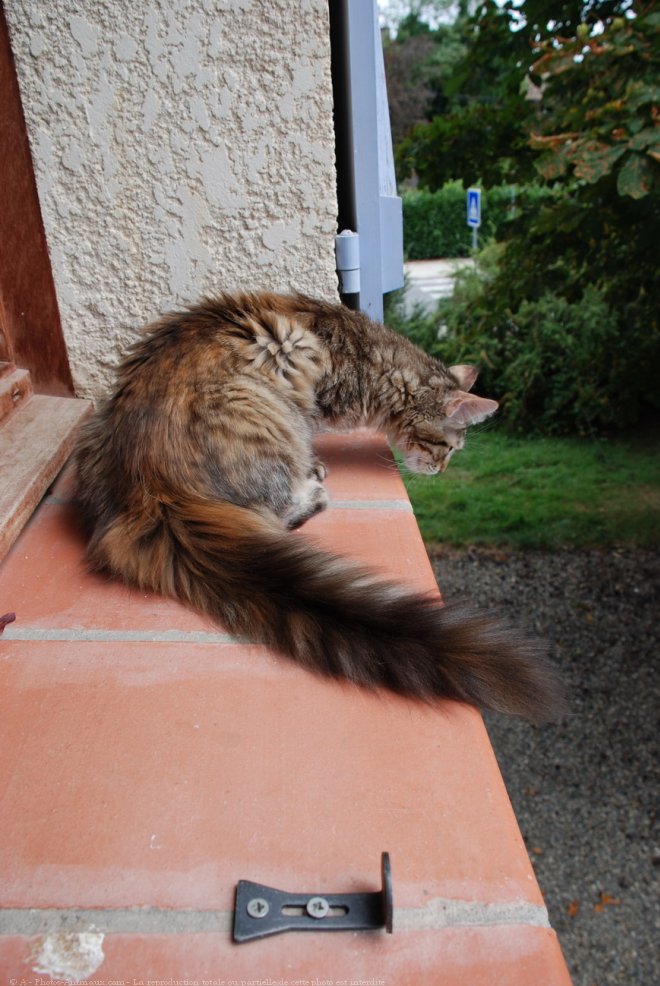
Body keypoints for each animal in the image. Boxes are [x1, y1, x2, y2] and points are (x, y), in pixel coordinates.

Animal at [77, 288, 564, 720]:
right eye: (449, 447)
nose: (442, 471)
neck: (373, 361)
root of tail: (149, 490)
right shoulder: (310, 393)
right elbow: (311, 435)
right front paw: (317, 463)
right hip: (263, 406)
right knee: (279, 510)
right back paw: (312, 487)